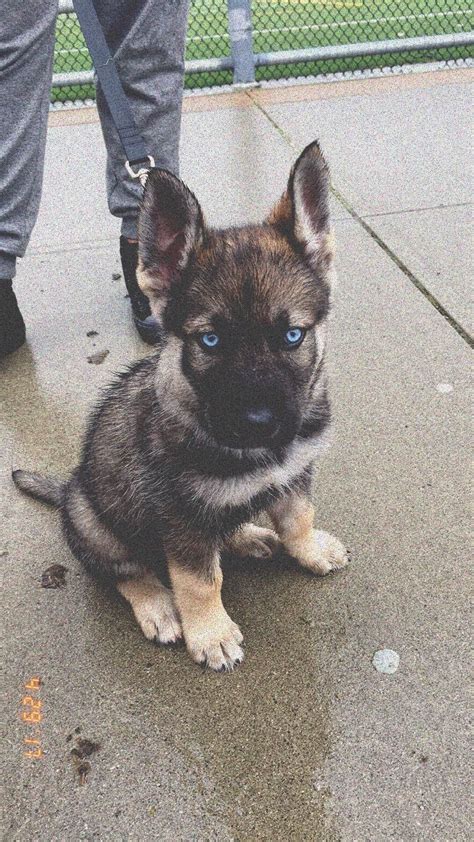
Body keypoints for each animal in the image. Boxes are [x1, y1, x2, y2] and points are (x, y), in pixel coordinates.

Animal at [13, 143, 348, 668]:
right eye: (210, 341)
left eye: (292, 335)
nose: (259, 424)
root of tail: (67, 490)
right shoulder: (181, 517)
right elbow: (198, 580)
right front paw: (209, 632)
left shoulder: (293, 474)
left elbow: (298, 519)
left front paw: (309, 550)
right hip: (94, 521)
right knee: (125, 570)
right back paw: (158, 605)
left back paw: (247, 535)